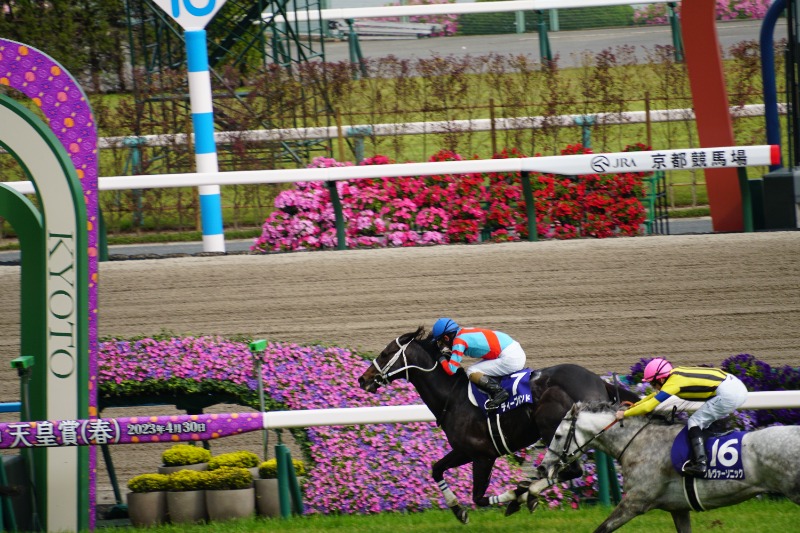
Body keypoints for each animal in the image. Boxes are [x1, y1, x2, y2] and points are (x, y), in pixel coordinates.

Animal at [356, 326, 636, 520]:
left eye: (385, 353)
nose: (363, 379)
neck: (452, 396)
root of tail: (599, 381)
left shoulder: (482, 454)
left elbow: (479, 497)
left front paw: (515, 496)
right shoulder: (464, 451)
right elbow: (436, 470)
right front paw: (458, 510)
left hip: (554, 428)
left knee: (570, 470)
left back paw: (529, 494)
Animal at [536, 404, 796, 532]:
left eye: (557, 435)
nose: (542, 467)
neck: (638, 442)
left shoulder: (635, 502)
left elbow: (601, 529)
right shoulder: (678, 508)